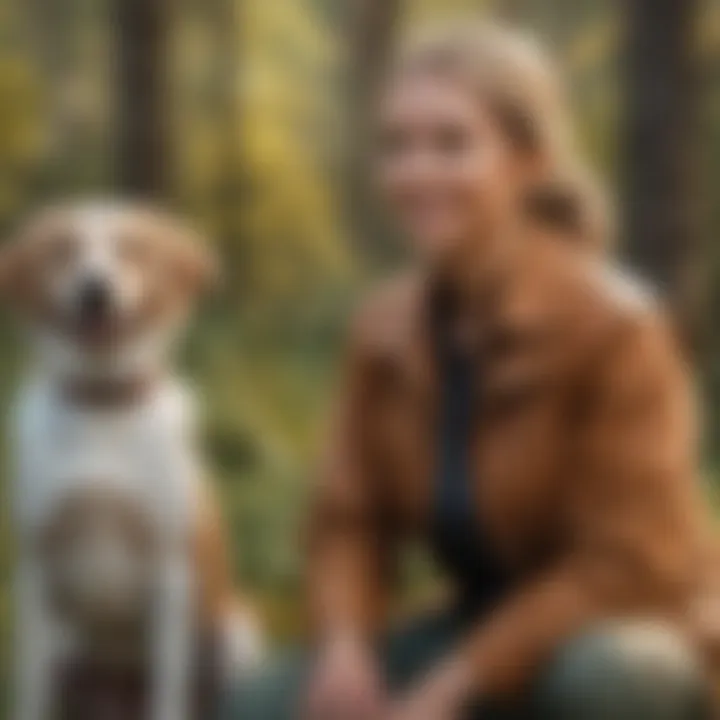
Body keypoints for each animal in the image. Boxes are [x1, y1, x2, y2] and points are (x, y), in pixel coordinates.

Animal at [2, 201, 262, 720]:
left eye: (132, 249)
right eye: (63, 249)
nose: (94, 290)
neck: (103, 405)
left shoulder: (169, 572)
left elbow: (167, 691)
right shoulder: (38, 571)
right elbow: (31, 694)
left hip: (237, 634)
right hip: (67, 648)